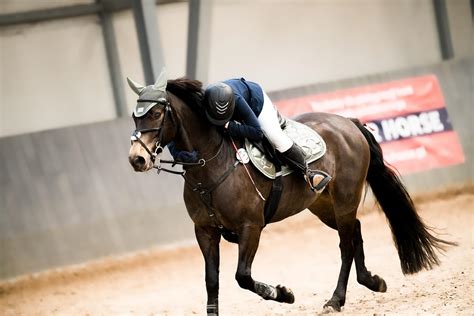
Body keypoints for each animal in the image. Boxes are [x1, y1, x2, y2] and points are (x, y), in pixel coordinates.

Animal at [128, 76, 454, 314]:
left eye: (156, 113)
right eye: (134, 117)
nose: (137, 159)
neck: (210, 164)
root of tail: (347, 122)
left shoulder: (251, 227)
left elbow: (242, 276)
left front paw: (284, 294)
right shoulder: (205, 231)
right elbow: (212, 282)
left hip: (345, 199)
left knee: (346, 244)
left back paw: (335, 299)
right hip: (323, 205)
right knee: (356, 232)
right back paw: (371, 281)